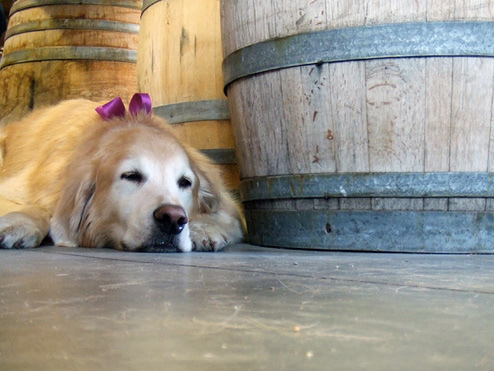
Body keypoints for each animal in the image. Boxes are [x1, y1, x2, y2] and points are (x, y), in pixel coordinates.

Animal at [0, 94, 243, 254]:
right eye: (131, 176)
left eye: (185, 182)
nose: (173, 219)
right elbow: (39, 208)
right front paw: (19, 224)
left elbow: (228, 215)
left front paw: (204, 229)